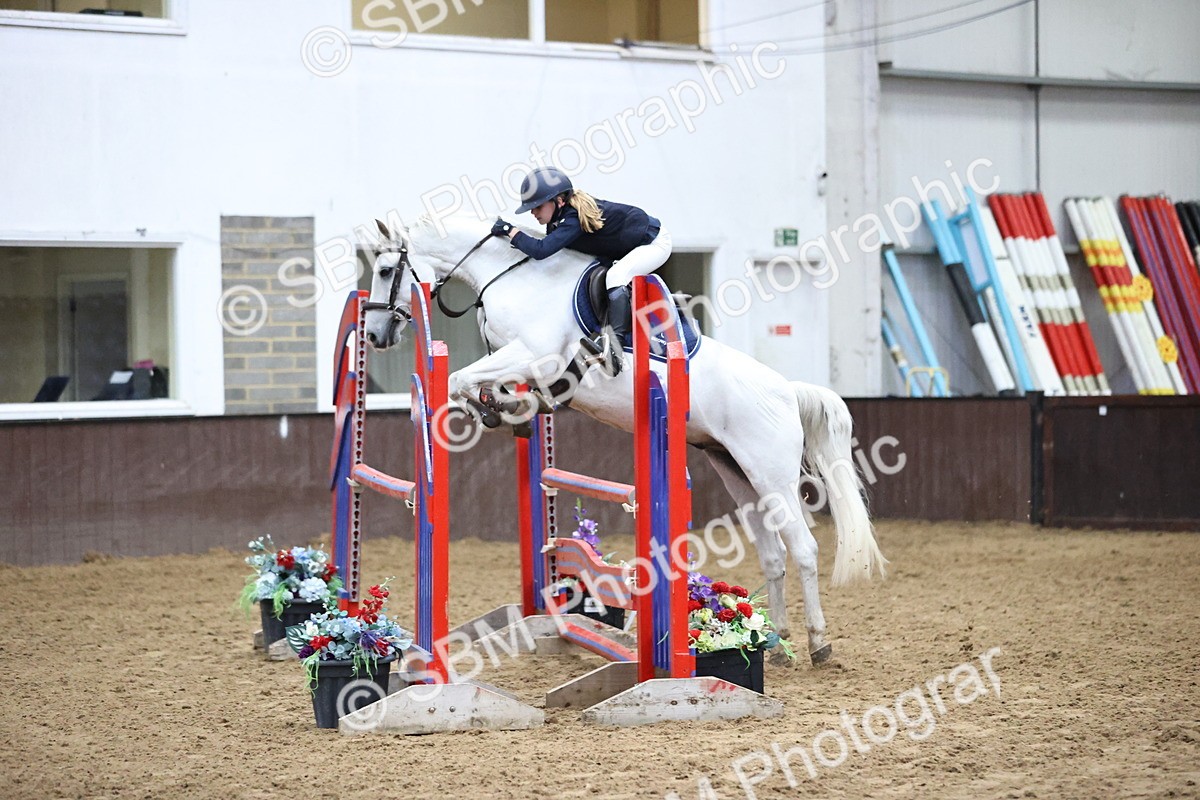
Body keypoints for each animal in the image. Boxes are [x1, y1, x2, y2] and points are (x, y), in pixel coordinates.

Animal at [363, 214, 886, 665]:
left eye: (386, 270)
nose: (375, 334)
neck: (512, 276)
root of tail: (786, 390)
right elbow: (474, 383)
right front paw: (503, 409)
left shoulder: (534, 355)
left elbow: (460, 378)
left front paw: (494, 407)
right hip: (737, 472)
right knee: (773, 554)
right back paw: (776, 644)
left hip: (770, 473)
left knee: (803, 548)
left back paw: (818, 644)